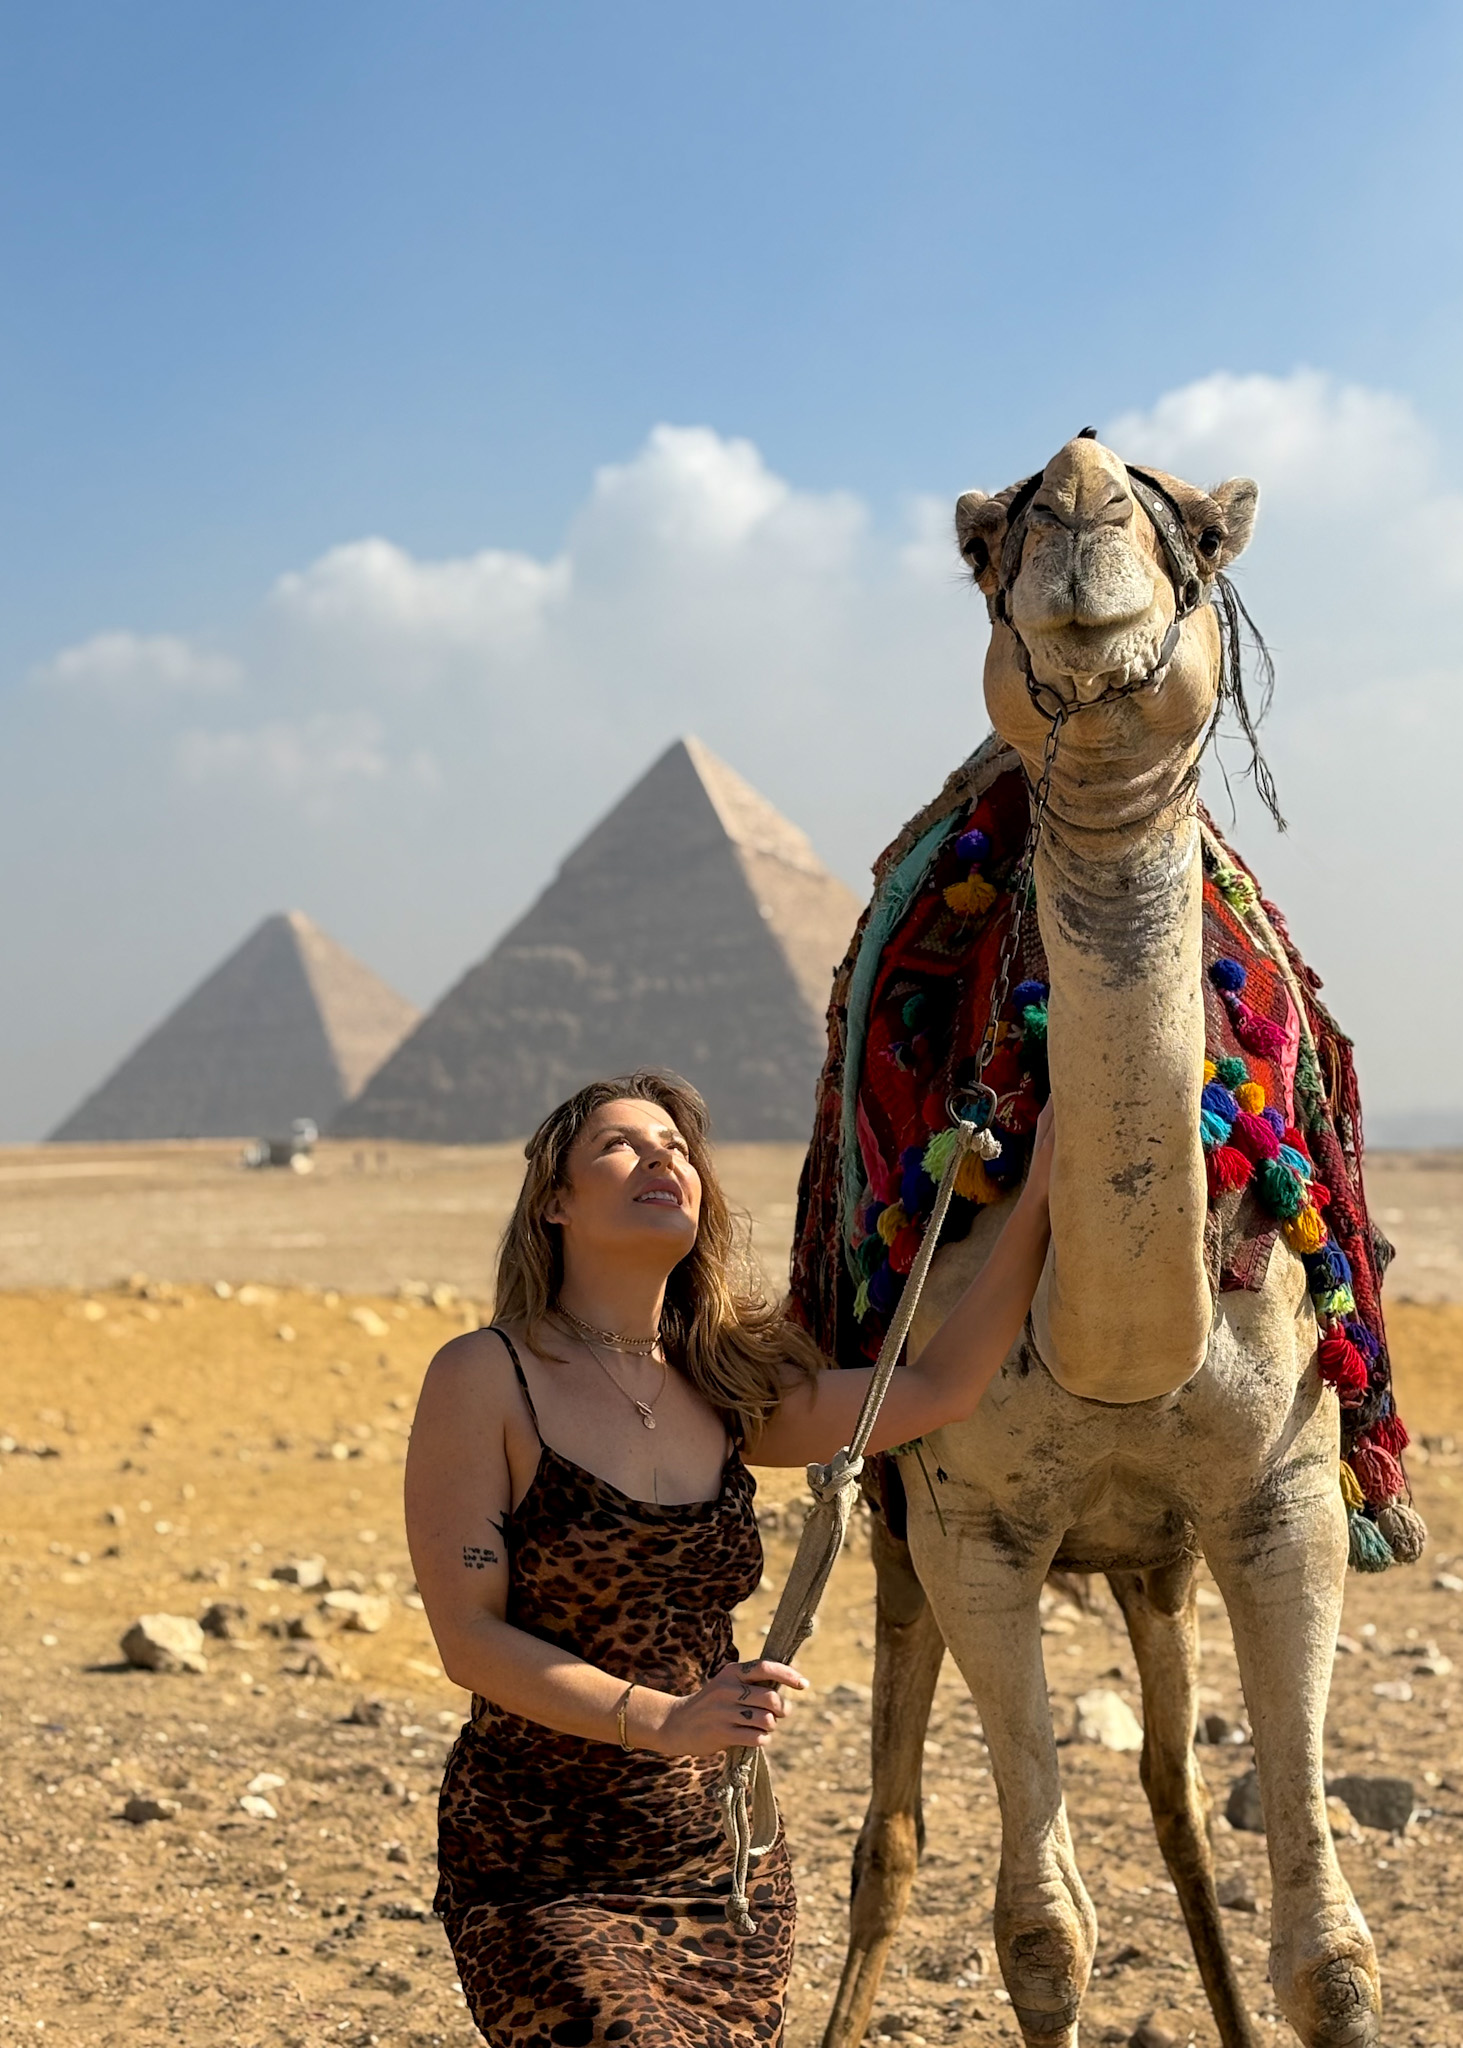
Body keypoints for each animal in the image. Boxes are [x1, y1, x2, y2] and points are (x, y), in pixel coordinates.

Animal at [815, 436, 1385, 2048]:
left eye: (1195, 523)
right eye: (987, 539)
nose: (1079, 495)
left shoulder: (1278, 1497)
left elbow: (1326, 1948)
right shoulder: (974, 1528)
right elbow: (1040, 1931)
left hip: (1152, 1554)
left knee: (1175, 1791)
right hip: (898, 1519)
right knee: (890, 1834)